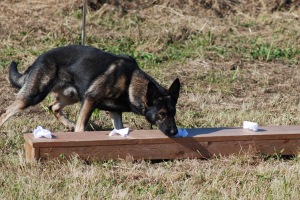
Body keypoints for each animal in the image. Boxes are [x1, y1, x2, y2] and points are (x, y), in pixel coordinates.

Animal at [0, 45, 180, 136]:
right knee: (6, 111)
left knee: (54, 107)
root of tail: (38, 59)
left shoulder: (115, 112)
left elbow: (118, 128)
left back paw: (69, 124)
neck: (130, 82)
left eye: (173, 113)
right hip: (34, 95)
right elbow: (82, 126)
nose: (175, 132)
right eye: (162, 114)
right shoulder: (91, 99)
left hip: (72, 95)